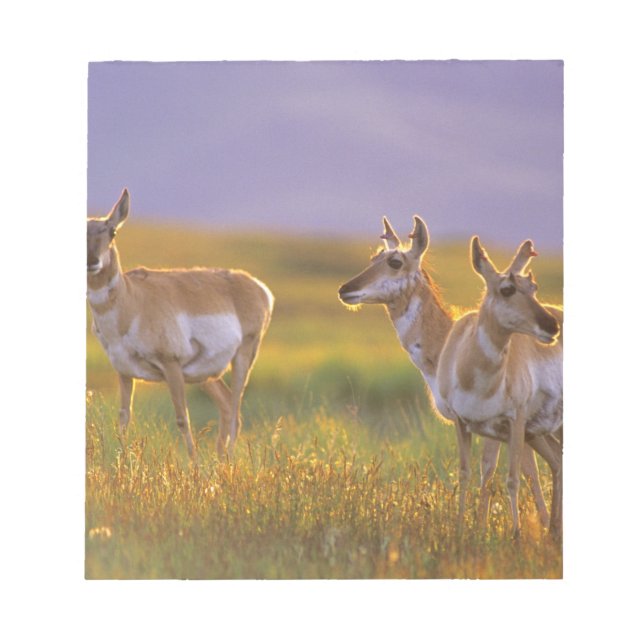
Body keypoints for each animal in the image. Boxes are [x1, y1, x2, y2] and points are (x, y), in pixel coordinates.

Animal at [87, 188, 274, 460]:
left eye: (112, 232)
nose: (91, 261)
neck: (131, 300)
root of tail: (257, 286)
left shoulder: (171, 365)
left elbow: (183, 419)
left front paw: (194, 465)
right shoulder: (124, 372)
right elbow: (123, 419)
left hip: (243, 357)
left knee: (235, 411)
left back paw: (227, 460)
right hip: (206, 374)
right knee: (227, 406)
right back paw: (221, 460)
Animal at [338, 216, 551, 530]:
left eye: (395, 261)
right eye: (373, 257)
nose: (345, 289)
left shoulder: (506, 423)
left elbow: (497, 470)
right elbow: (524, 471)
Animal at [436, 236, 563, 537]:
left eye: (533, 287)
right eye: (507, 289)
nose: (552, 326)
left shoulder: (515, 421)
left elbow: (513, 478)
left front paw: (516, 535)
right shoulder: (463, 423)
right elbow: (466, 473)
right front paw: (460, 529)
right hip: (540, 434)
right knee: (558, 461)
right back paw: (554, 530)